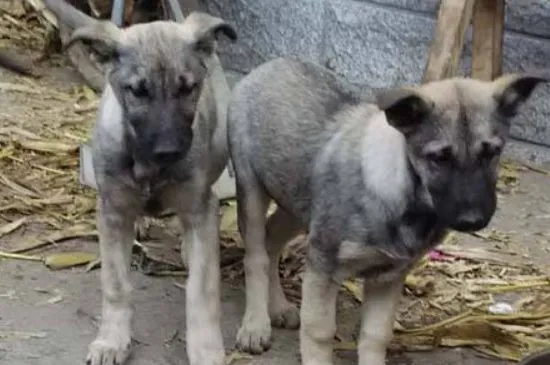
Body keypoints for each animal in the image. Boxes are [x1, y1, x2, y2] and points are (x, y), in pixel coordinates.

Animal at [44, 0, 237, 364]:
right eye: (137, 91)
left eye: (187, 88)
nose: (169, 150)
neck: (147, 164)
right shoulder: (112, 212)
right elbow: (116, 285)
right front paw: (112, 340)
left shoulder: (198, 206)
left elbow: (201, 290)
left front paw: (205, 349)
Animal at [226, 57, 548, 364]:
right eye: (438, 158)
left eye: (492, 152)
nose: (473, 220)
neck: (406, 196)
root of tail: (271, 64)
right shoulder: (323, 264)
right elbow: (319, 332)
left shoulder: (389, 277)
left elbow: (375, 335)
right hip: (252, 190)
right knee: (256, 256)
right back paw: (255, 325)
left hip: (296, 201)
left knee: (271, 242)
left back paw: (278, 307)